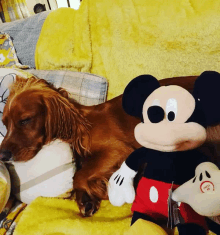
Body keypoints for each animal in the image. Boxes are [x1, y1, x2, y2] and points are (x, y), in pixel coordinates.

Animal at [0, 75, 219, 217]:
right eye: (5, 123)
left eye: (25, 120)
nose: (2, 155)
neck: (82, 126)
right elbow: (80, 176)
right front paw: (87, 200)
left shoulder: (118, 150)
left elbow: (79, 176)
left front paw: (102, 190)